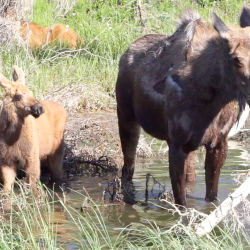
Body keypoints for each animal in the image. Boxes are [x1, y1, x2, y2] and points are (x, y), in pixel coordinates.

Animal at [115, 6, 250, 206]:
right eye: (236, 59)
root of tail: (125, 53)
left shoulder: (218, 143)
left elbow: (211, 197)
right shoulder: (176, 145)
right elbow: (182, 203)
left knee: (190, 175)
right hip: (126, 117)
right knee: (127, 169)